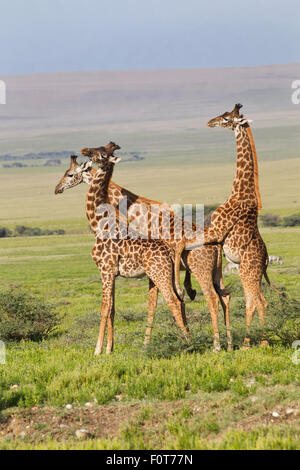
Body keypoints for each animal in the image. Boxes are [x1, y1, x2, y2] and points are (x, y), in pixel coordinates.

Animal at [54, 152, 232, 350]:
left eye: (69, 174)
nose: (57, 188)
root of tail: (217, 243)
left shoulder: (108, 271)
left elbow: (109, 307)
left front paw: (100, 349)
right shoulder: (123, 274)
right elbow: (125, 308)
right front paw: (115, 348)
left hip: (194, 271)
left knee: (203, 299)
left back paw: (211, 344)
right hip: (214, 271)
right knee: (223, 297)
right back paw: (229, 342)